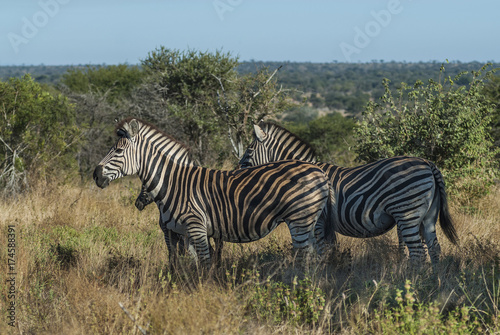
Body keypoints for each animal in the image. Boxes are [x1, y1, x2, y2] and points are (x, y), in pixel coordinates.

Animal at [94, 118, 332, 268]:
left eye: (118, 150)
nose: (95, 174)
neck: (173, 183)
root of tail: (319, 170)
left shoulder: (196, 229)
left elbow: (204, 267)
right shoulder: (185, 233)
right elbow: (190, 266)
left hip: (300, 219)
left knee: (305, 259)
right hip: (308, 222)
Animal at [238, 121, 458, 266]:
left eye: (249, 151)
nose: (238, 169)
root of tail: (428, 163)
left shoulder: (319, 222)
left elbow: (321, 251)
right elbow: (328, 250)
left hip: (407, 212)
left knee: (418, 253)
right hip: (428, 216)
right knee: (434, 249)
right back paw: (432, 283)